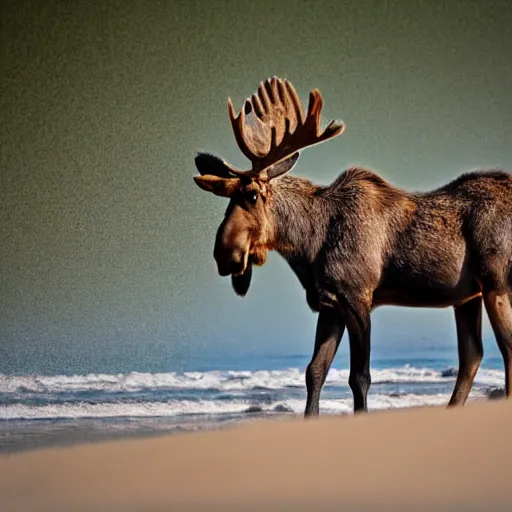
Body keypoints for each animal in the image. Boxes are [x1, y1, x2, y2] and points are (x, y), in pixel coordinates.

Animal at [193, 77, 512, 416]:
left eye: (252, 196)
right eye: (228, 198)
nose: (224, 255)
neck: (309, 244)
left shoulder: (358, 297)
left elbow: (359, 376)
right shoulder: (330, 303)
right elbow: (314, 371)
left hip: (496, 283)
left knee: (506, 348)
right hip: (467, 296)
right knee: (472, 355)